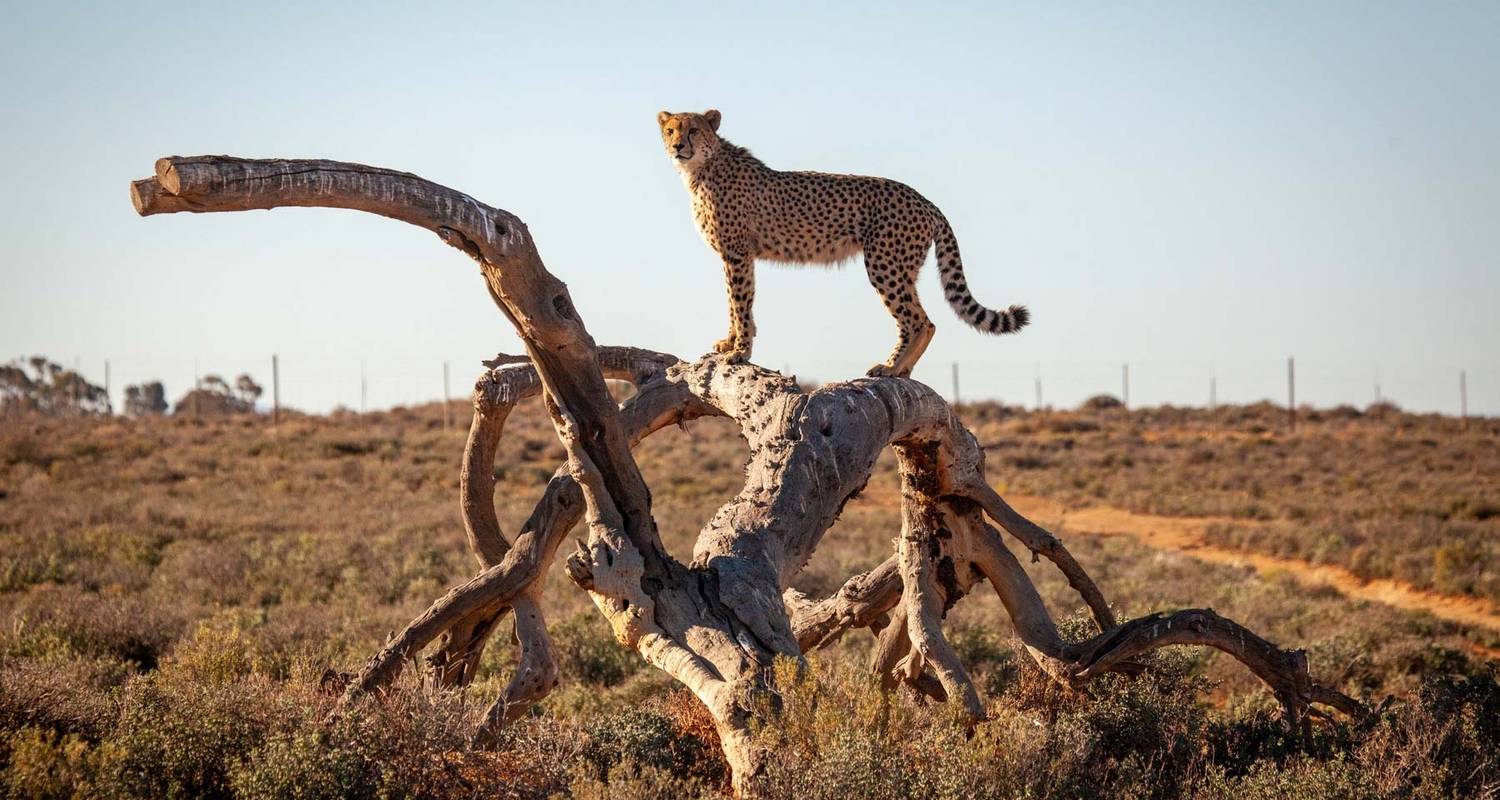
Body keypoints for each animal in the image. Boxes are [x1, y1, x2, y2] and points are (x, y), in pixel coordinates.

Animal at [660, 106, 1032, 376]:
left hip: (884, 264)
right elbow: (733, 302)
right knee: (918, 321)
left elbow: (740, 302)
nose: (678, 146)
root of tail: (925, 200)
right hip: (904, 269)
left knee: (919, 321)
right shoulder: (736, 255)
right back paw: (901, 369)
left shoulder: (737, 253)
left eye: (693, 130)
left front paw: (740, 352)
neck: (703, 167)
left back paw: (891, 368)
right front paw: (730, 343)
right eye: (671, 130)